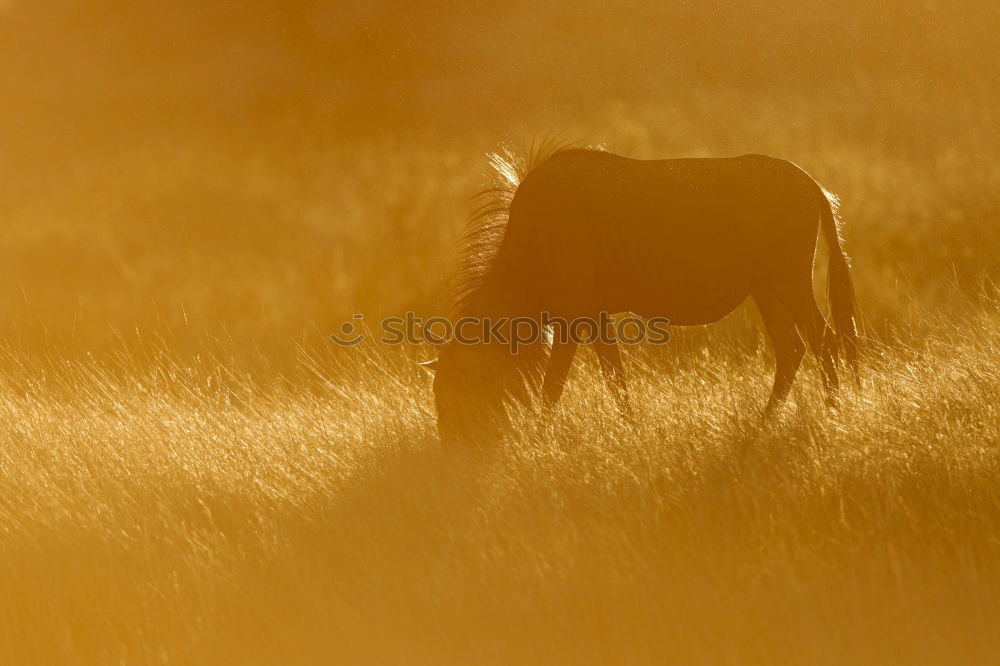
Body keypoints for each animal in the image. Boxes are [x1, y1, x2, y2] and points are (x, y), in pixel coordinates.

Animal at [424, 143, 860, 444]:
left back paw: (833, 418)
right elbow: (615, 379)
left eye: (457, 390)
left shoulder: (573, 318)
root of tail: (813, 185)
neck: (530, 244)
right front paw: (631, 429)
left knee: (824, 342)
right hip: (767, 291)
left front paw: (542, 437)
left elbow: (555, 387)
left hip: (788, 282)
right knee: (793, 350)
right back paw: (763, 425)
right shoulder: (594, 317)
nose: (452, 450)